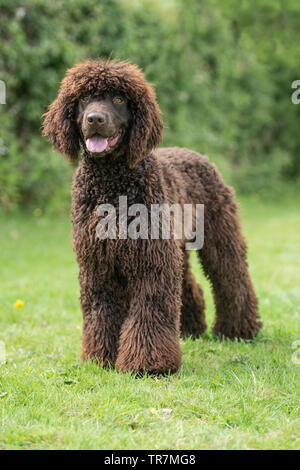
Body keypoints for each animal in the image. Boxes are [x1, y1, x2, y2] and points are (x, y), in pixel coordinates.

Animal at [42, 58, 262, 374]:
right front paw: (101, 357)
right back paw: (190, 329)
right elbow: (101, 313)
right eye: (83, 98)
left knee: (233, 279)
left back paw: (238, 330)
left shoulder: (151, 263)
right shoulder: (99, 265)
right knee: (189, 286)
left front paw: (148, 363)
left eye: (119, 99)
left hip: (220, 237)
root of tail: (195, 154)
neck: (112, 184)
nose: (95, 119)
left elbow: (150, 310)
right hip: (176, 248)